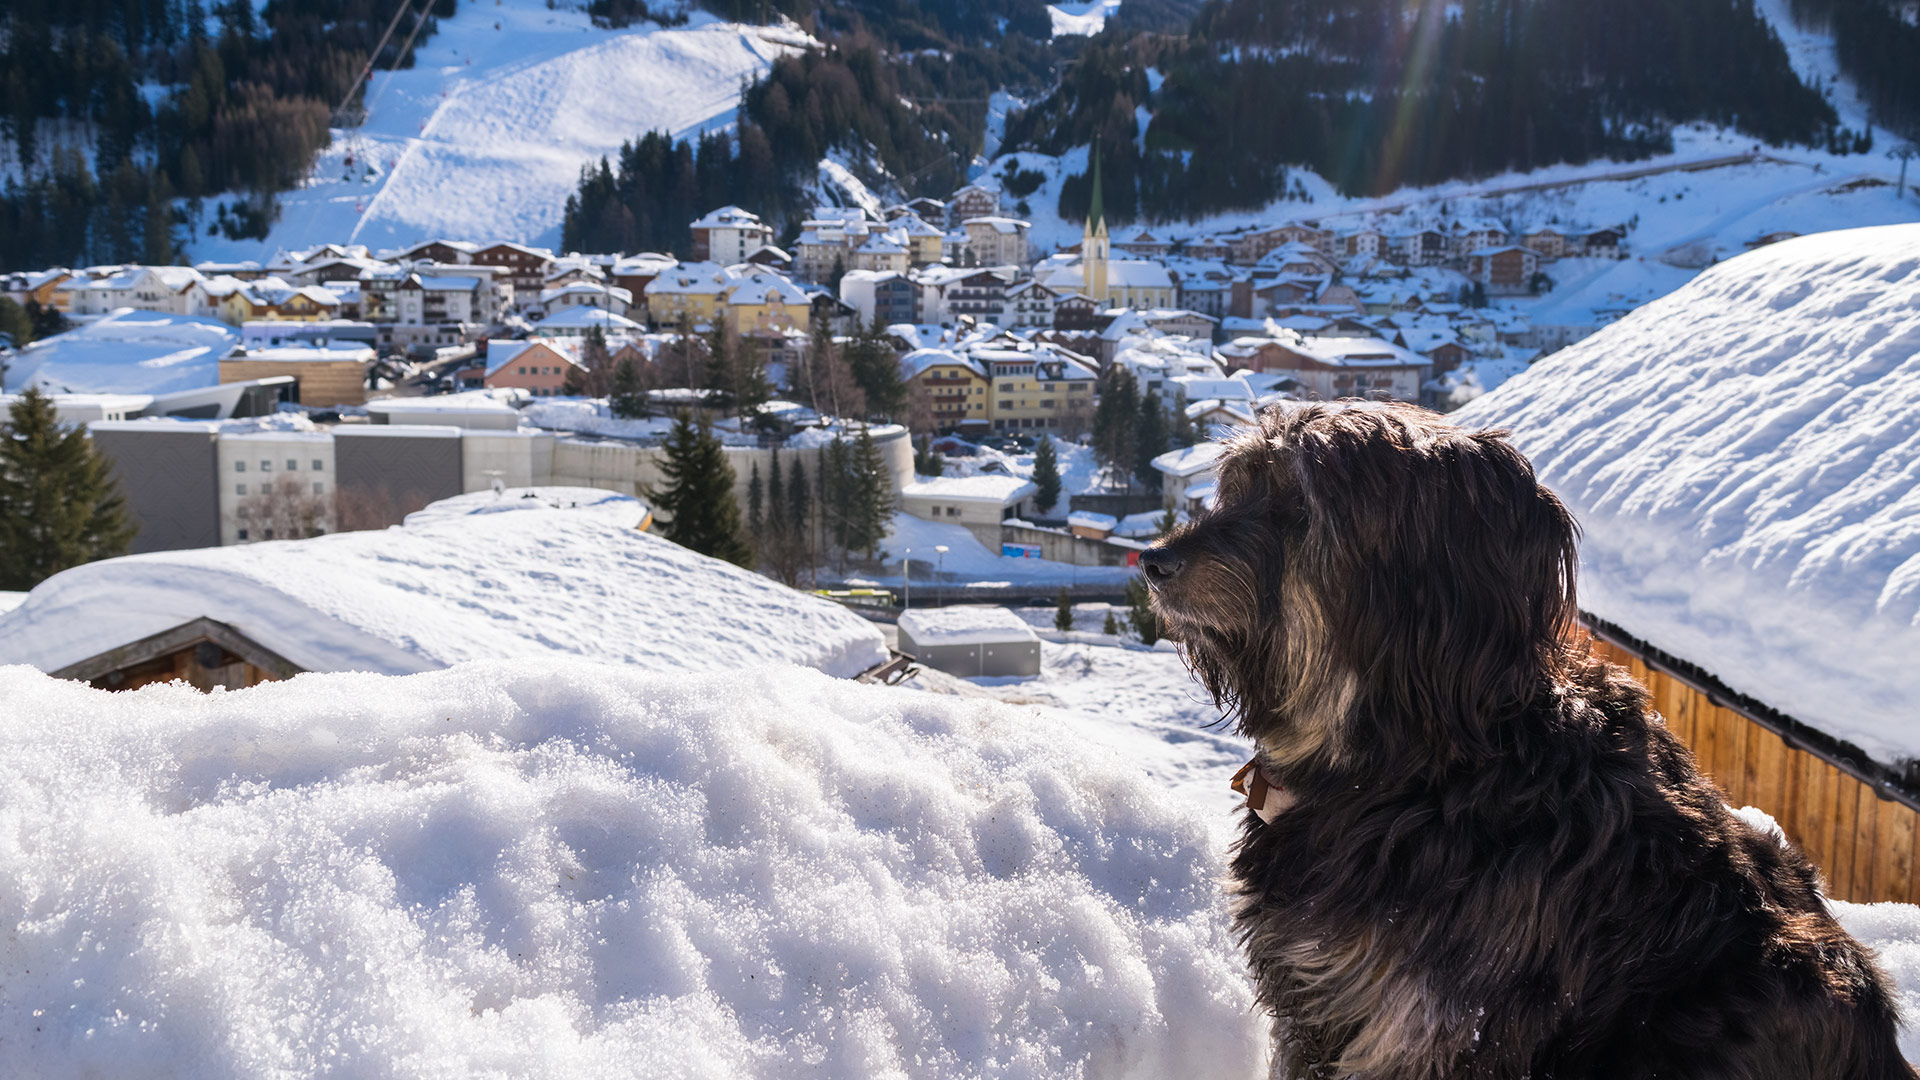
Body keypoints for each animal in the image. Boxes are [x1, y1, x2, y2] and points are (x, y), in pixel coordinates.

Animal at [1128, 401, 1912, 1076]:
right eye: (1236, 489)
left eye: (1298, 507)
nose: (1154, 563)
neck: (1412, 772)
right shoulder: (1315, 1002)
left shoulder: (1425, 1026)